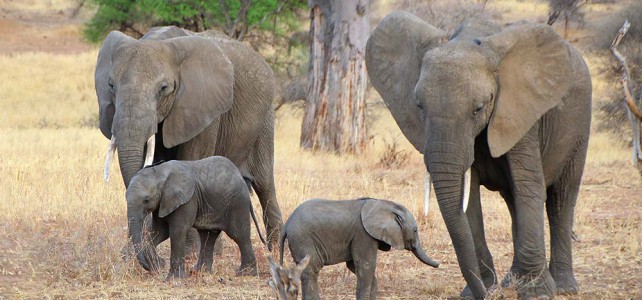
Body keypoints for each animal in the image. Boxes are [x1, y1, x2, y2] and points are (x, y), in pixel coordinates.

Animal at [96, 25, 282, 247]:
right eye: (111, 86)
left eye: (163, 88)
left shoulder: (203, 109)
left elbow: (190, 162)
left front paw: (189, 251)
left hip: (265, 121)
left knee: (264, 184)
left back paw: (275, 252)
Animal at [125, 156, 264, 280]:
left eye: (146, 200)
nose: (158, 265)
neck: (160, 172)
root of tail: (241, 177)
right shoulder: (163, 202)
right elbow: (159, 232)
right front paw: (158, 264)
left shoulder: (186, 200)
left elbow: (177, 231)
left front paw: (174, 279)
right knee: (207, 237)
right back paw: (199, 272)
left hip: (237, 203)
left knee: (239, 236)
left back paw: (245, 274)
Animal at [280, 198, 440, 298]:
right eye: (415, 230)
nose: (439, 263)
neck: (383, 204)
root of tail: (287, 224)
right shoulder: (364, 234)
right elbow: (365, 265)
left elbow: (354, 265)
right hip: (303, 238)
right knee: (311, 271)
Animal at [364, 12, 592, 300]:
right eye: (419, 106)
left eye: (479, 108)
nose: (486, 293)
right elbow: (468, 198)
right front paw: (477, 291)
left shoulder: (521, 112)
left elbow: (528, 186)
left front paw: (537, 292)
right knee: (514, 202)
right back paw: (510, 282)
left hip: (580, 127)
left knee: (561, 199)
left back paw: (563, 287)